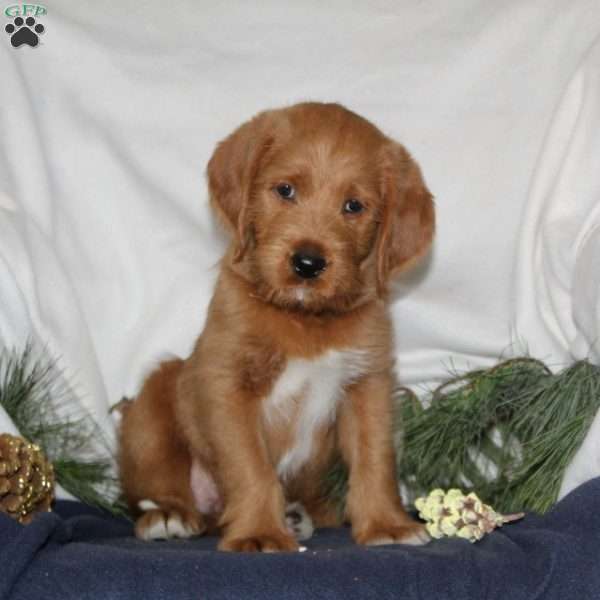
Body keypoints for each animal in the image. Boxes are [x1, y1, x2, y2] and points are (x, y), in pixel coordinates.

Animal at [117, 101, 436, 552]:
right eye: (285, 190)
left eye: (354, 206)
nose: (307, 263)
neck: (304, 319)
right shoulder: (227, 383)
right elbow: (250, 465)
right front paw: (259, 532)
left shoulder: (368, 383)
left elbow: (375, 458)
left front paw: (385, 525)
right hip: (153, 404)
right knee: (161, 484)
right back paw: (169, 515)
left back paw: (297, 515)